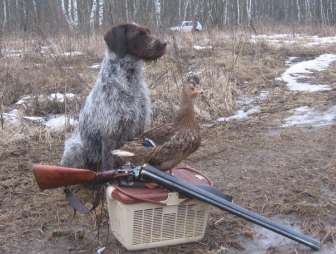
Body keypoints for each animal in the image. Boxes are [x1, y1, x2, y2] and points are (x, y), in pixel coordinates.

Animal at [60, 23, 168, 171]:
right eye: (139, 35)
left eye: (149, 32)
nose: (165, 43)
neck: (129, 80)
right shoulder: (110, 131)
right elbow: (108, 163)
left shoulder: (139, 127)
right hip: (75, 149)